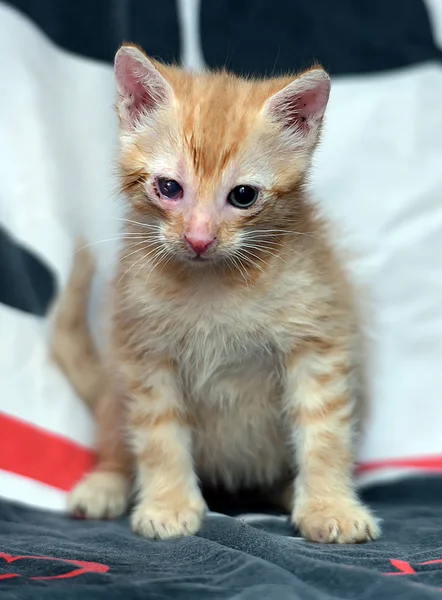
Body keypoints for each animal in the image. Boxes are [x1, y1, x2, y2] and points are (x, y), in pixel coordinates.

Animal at [67, 44, 378, 544]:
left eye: (244, 196)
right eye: (169, 188)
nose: (198, 239)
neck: (216, 282)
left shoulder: (318, 338)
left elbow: (324, 430)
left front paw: (329, 506)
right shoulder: (144, 351)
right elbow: (159, 434)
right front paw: (169, 504)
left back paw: (288, 490)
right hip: (114, 386)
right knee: (117, 438)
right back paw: (106, 483)